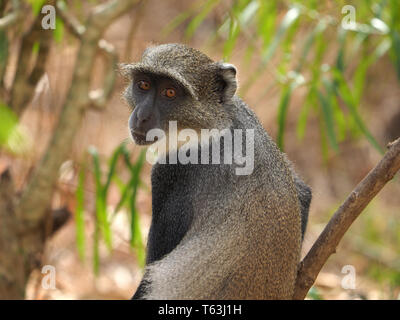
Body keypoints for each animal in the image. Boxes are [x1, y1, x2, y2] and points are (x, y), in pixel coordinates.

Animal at [122, 43, 312, 300]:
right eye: (143, 85)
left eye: (170, 93)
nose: (141, 116)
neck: (213, 125)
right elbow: (304, 192)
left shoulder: (172, 173)